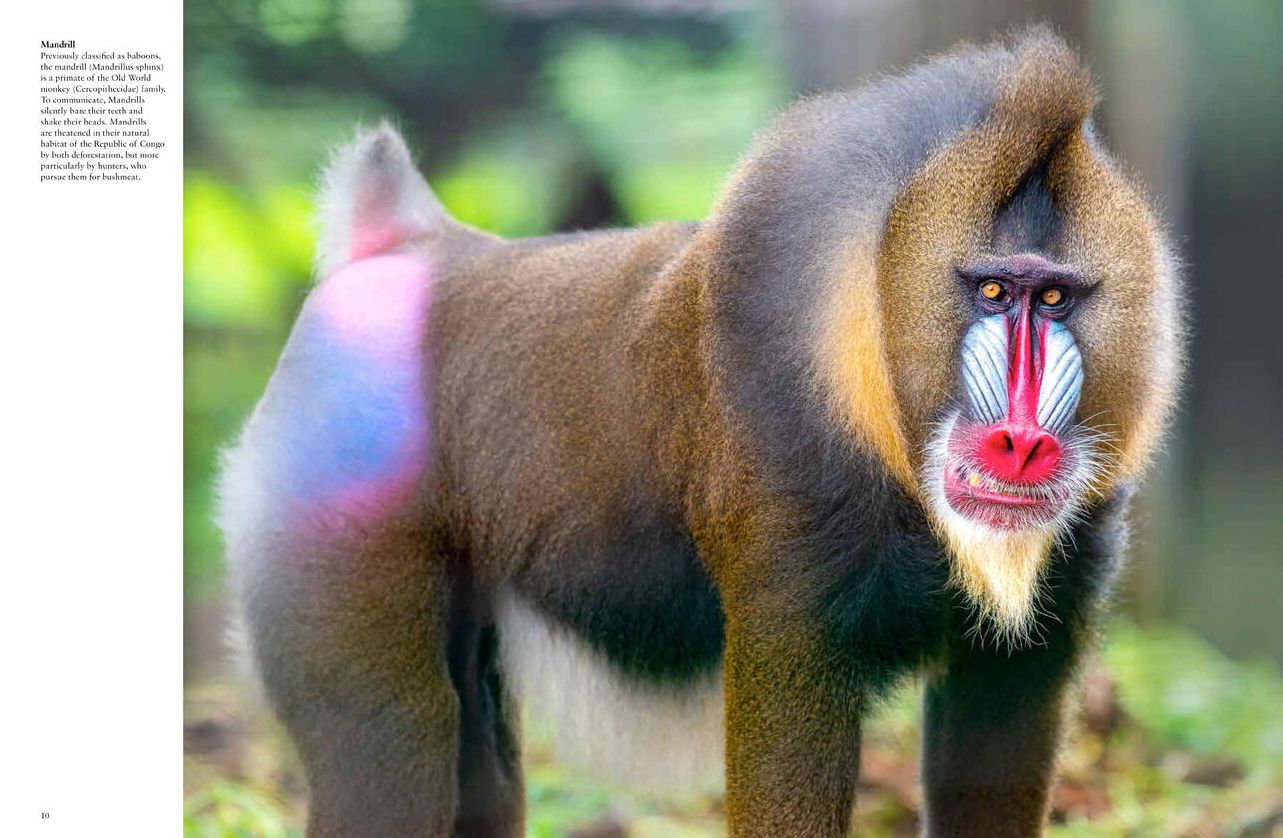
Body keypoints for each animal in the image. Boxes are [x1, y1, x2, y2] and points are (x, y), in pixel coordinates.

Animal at [219, 27, 1183, 838]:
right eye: (990, 291)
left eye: (1052, 298)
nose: (1020, 441)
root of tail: (398, 249)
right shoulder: (790, 602)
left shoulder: (1038, 632)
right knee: (393, 740)